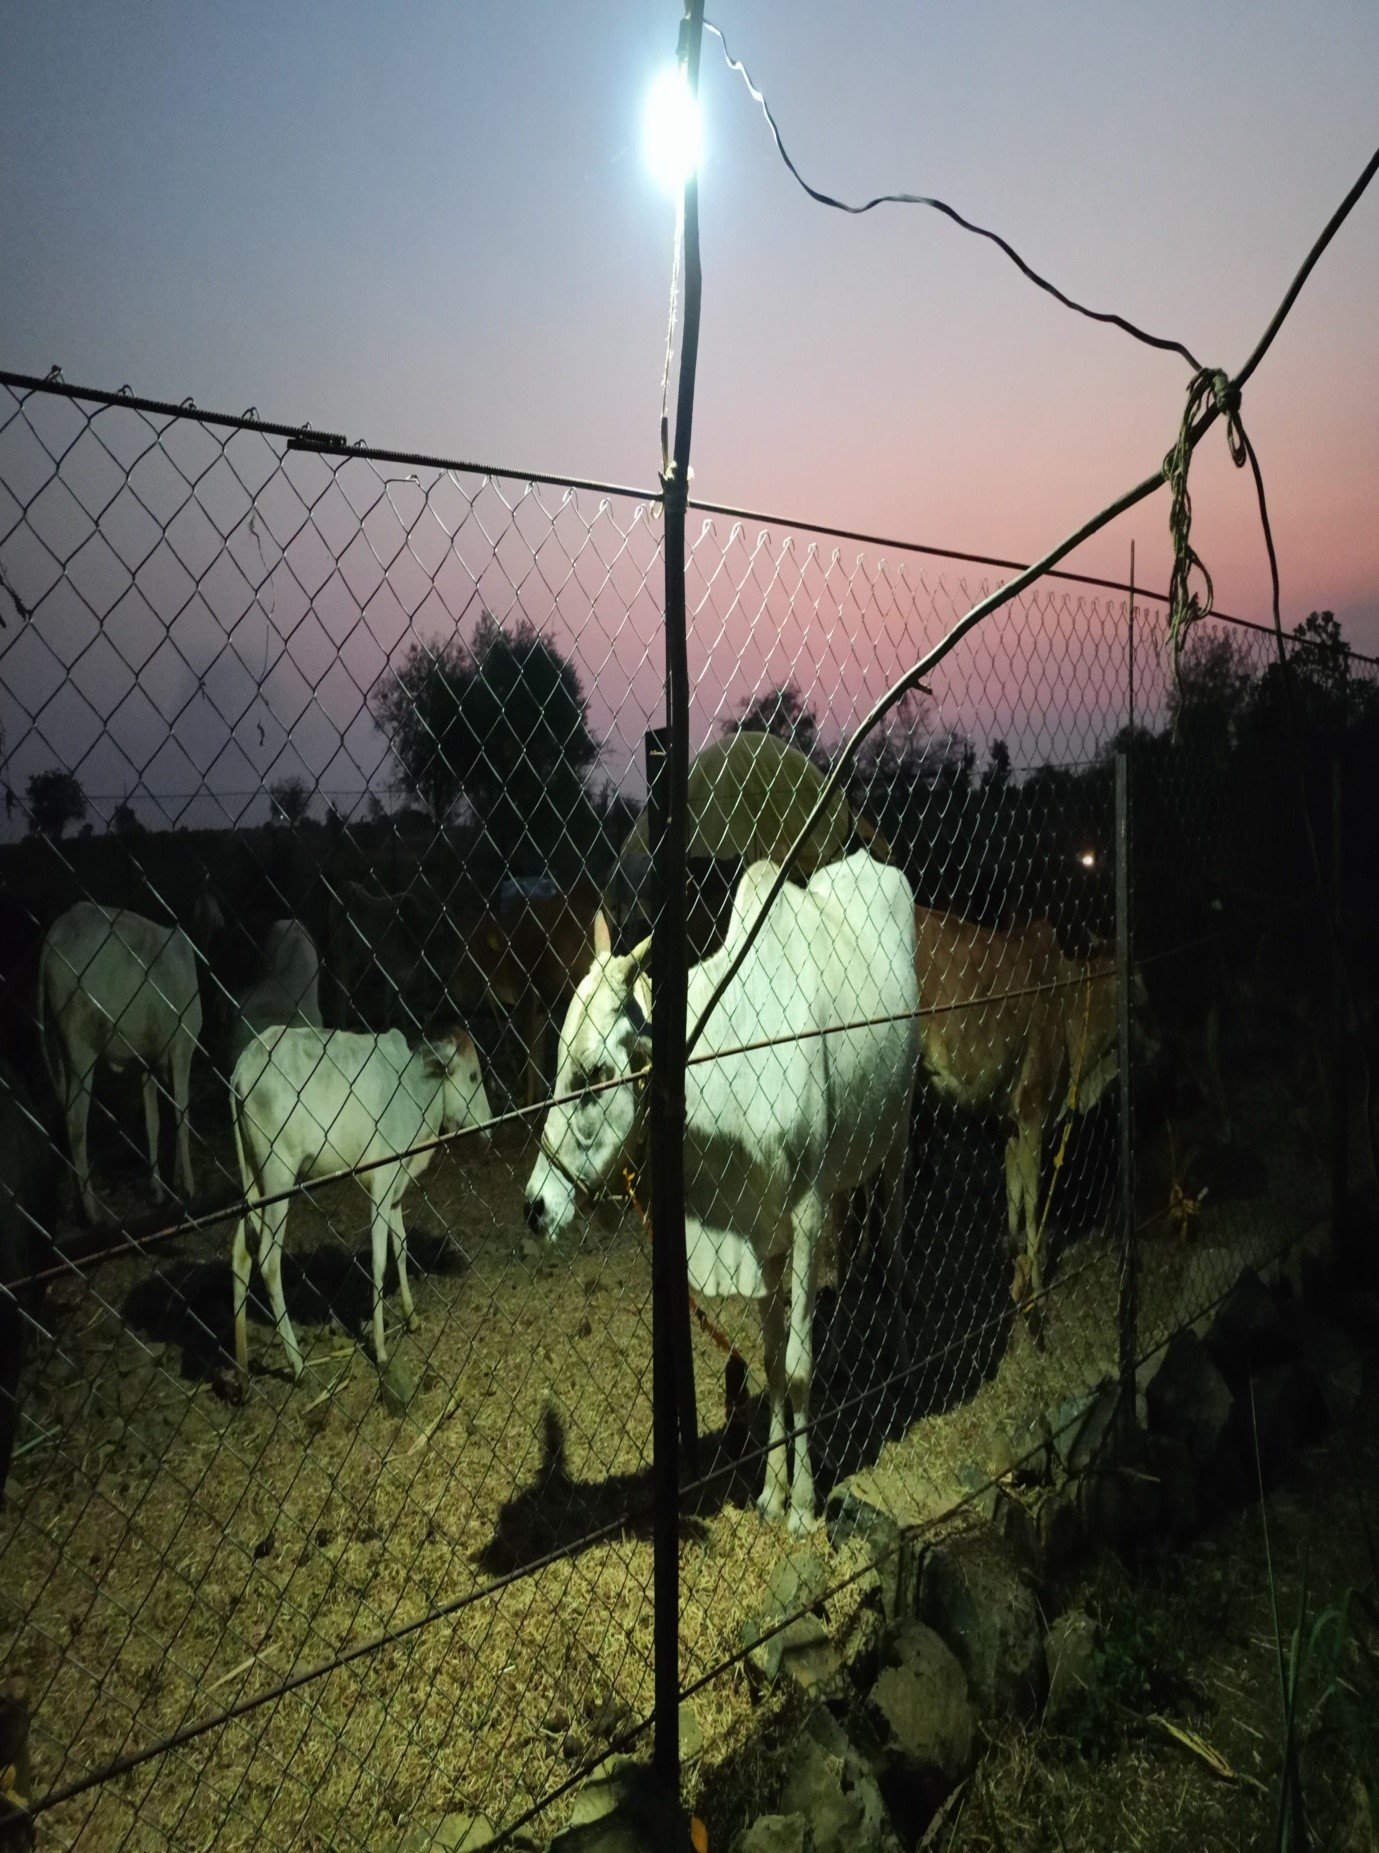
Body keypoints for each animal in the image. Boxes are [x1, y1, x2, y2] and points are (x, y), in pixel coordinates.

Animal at [39, 904, 202, 1222]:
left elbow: (154, 1121)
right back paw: (91, 1211)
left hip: (60, 1050)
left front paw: (162, 1187)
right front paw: (187, 1186)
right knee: (76, 1122)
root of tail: (54, 936)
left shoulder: (148, 1064)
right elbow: (182, 1113)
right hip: (82, 1047)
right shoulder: (182, 1047)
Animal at [232, 1030, 496, 1378]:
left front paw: (411, 1317)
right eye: (473, 1076)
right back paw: (297, 1364)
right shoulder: (381, 1183)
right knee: (267, 1260)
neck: (415, 1083)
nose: (490, 1126)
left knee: (240, 1254)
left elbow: (401, 1247)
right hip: (278, 1175)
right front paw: (381, 1348)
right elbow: (379, 1261)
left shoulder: (396, 1187)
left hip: (254, 1180)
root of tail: (242, 1067)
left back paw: (241, 1369)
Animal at [522, 852, 919, 1534]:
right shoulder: (761, 1233)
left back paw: (893, 1356)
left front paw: (803, 1505)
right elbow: (772, 1362)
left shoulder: (804, 1215)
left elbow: (798, 1367)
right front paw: (770, 1491)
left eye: (595, 1074)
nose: (536, 1205)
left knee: (893, 1241)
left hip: (896, 1135)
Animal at [915, 907, 1119, 1334]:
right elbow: (1032, 1205)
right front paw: (1037, 1298)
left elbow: (1013, 1196)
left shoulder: (1009, 1123)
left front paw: (1013, 1262)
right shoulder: (1032, 1114)